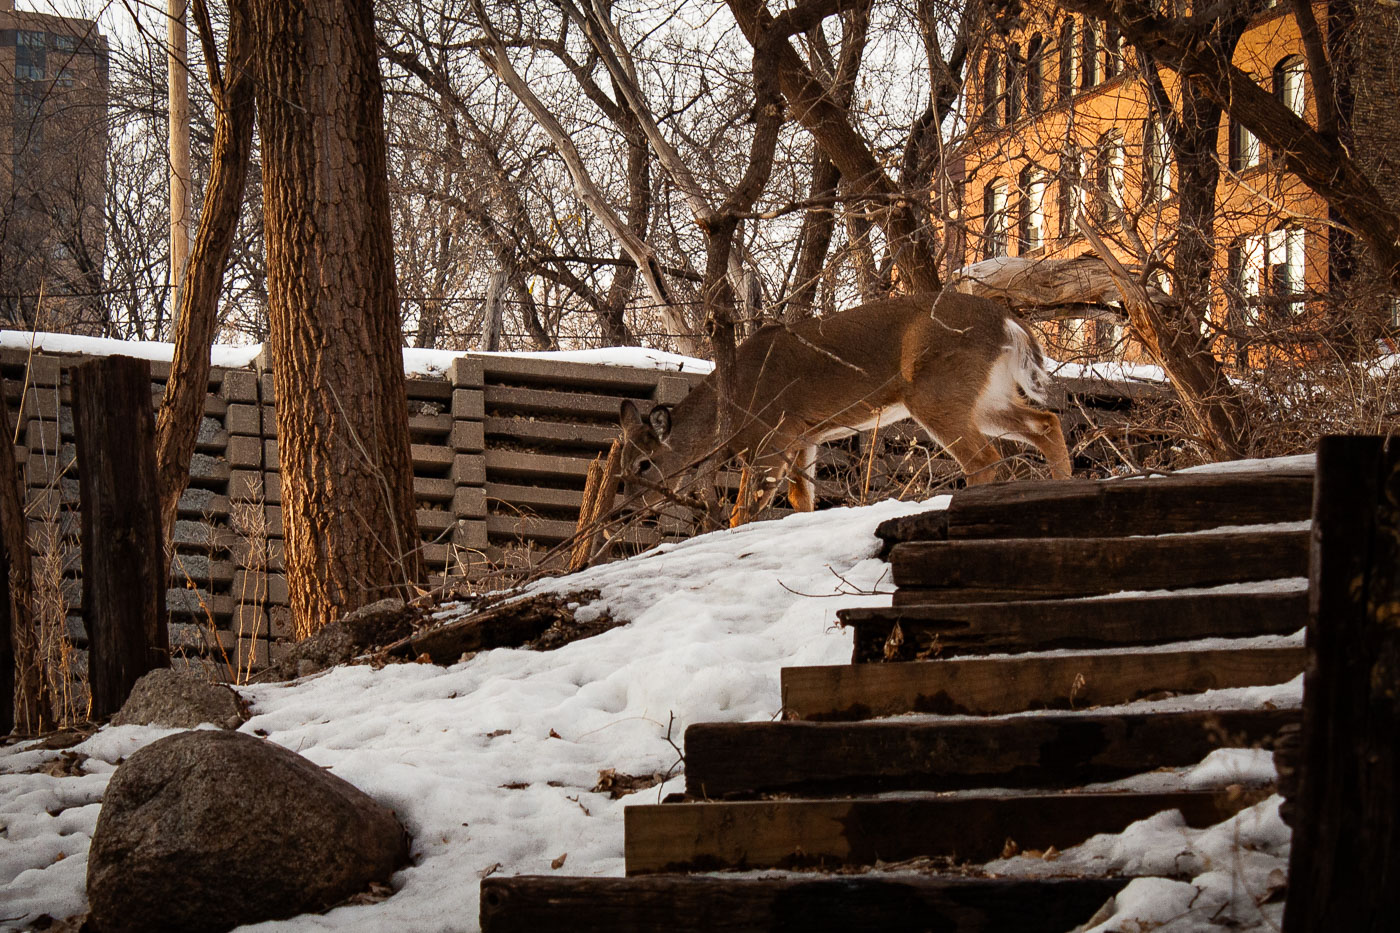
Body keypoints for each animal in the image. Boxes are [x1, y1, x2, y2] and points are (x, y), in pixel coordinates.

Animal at [616, 291, 1069, 515]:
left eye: (644, 464)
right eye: (621, 465)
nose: (626, 506)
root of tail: (1008, 323)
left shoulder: (772, 437)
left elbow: (744, 509)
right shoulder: (803, 437)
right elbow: (801, 499)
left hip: (937, 390)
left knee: (985, 458)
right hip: (987, 396)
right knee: (1046, 422)